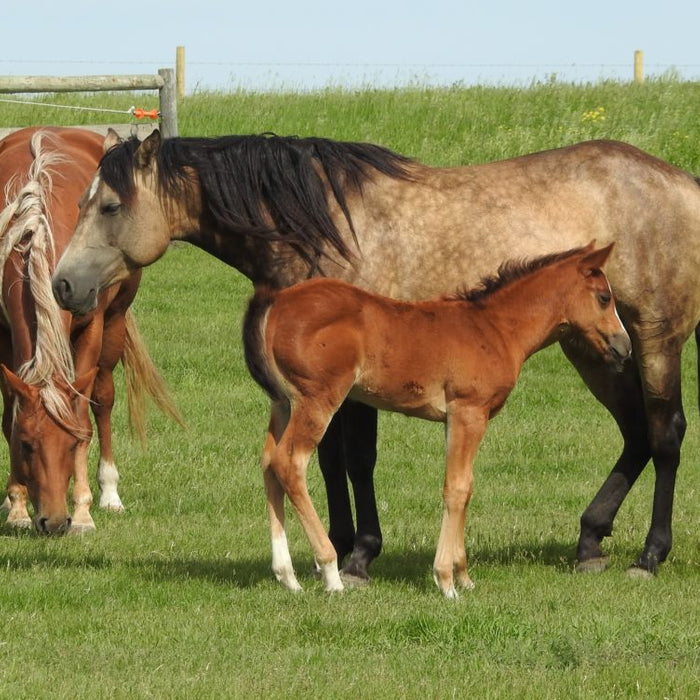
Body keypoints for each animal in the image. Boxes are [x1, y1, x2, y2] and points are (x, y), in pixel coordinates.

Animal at [0, 126, 182, 534]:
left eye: (70, 446)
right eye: (26, 445)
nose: (53, 522)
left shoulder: (93, 330)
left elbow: (84, 416)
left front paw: (83, 511)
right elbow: (8, 415)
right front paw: (16, 504)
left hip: (113, 325)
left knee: (104, 399)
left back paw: (109, 493)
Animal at [243, 243, 631, 595]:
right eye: (603, 298)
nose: (624, 347)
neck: (495, 329)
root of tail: (277, 301)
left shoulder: (455, 420)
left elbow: (465, 486)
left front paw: (464, 576)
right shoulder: (468, 412)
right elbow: (456, 488)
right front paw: (446, 581)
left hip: (283, 403)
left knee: (268, 463)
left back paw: (287, 576)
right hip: (318, 399)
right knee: (290, 462)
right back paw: (331, 573)